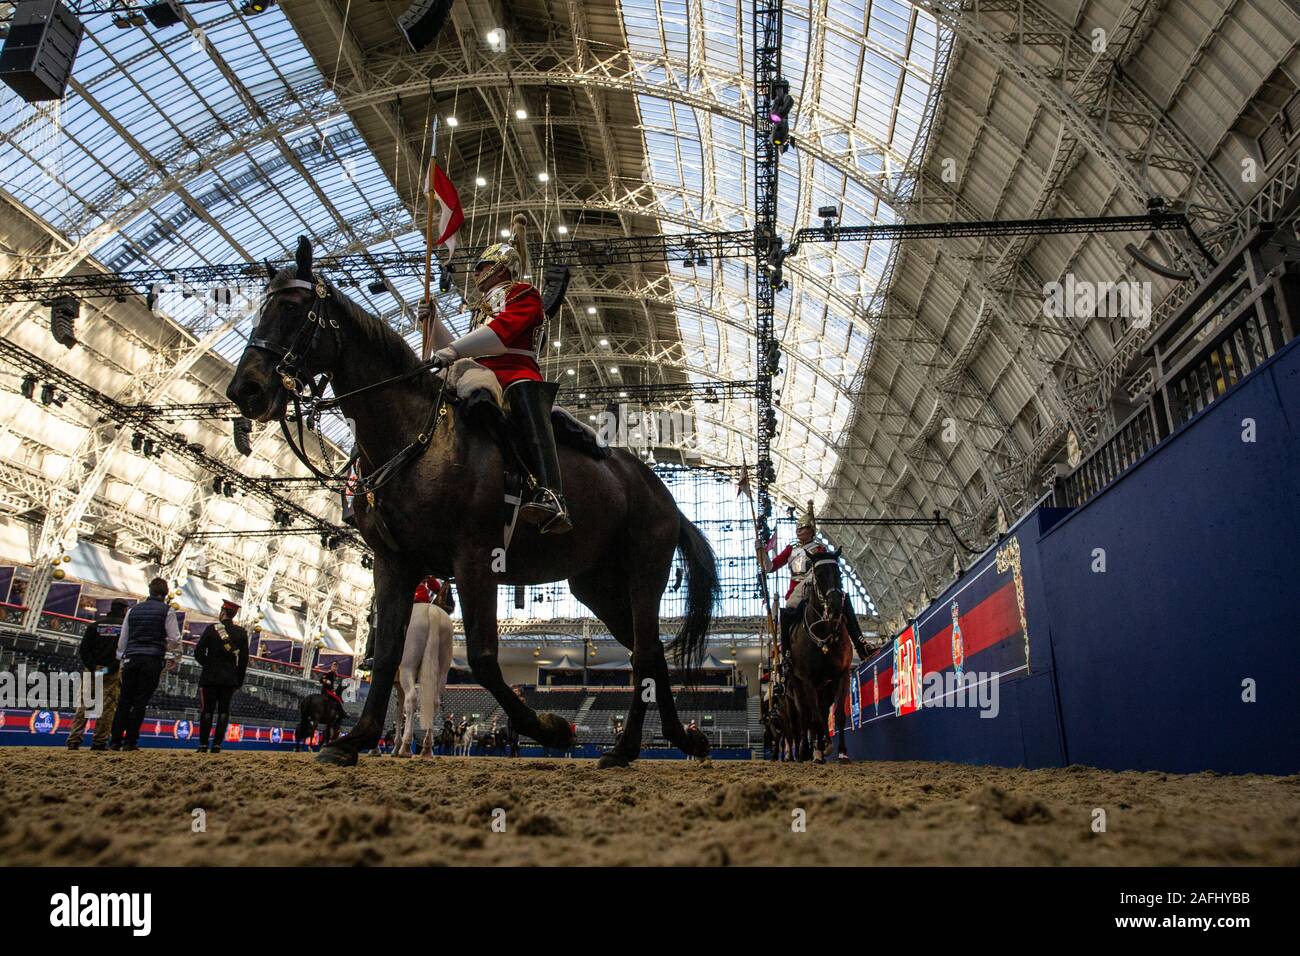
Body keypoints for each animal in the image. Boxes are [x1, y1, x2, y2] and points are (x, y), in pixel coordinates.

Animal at [390, 600, 452, 759]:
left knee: (412, 699)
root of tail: (432, 612)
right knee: (434, 702)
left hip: (408, 668)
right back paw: (427, 749)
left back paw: (406, 748)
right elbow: (399, 712)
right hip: (442, 672)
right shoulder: (398, 686)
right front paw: (395, 747)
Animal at [785, 554, 857, 764]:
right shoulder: (807, 680)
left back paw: (824, 745)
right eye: (818, 574)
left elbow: (838, 714)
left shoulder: (842, 676)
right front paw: (816, 753)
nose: (835, 606)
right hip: (798, 689)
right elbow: (813, 718)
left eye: (839, 572)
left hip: (825, 687)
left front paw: (842, 752)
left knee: (822, 712)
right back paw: (807, 751)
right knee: (805, 718)